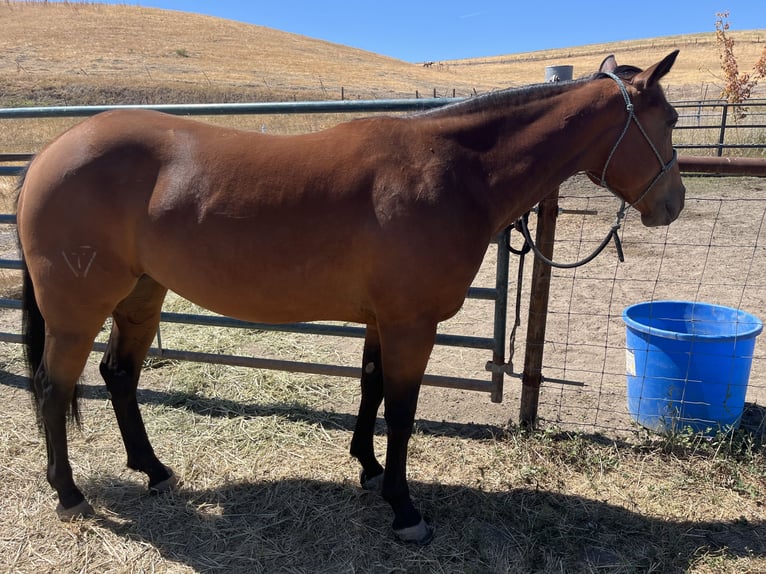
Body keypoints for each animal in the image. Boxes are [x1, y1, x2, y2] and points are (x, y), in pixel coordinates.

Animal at [15, 51, 684, 548]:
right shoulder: (412, 324)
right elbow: (403, 410)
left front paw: (367, 468)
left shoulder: (382, 320)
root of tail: (53, 149)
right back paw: (69, 495)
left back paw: (153, 471)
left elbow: (371, 387)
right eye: (672, 119)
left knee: (119, 375)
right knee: (54, 386)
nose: (672, 203)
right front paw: (404, 508)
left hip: (140, 295)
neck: (451, 170)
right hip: (77, 311)